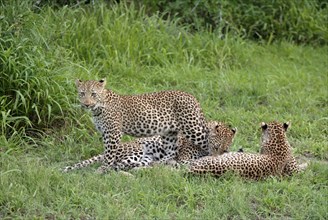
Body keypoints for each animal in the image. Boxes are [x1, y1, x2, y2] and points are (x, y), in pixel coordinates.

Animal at [61, 120, 236, 172]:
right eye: (216, 146)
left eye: (225, 150)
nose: (217, 157)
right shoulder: (183, 158)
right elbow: (189, 160)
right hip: (138, 151)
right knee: (115, 166)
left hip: (144, 158)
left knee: (127, 166)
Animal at [73, 78, 209, 173]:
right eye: (82, 94)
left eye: (93, 94)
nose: (86, 104)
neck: (97, 109)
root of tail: (192, 97)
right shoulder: (105, 133)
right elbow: (107, 151)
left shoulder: (113, 133)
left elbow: (109, 154)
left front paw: (103, 169)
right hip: (169, 133)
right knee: (172, 152)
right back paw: (157, 164)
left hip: (192, 128)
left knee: (207, 142)